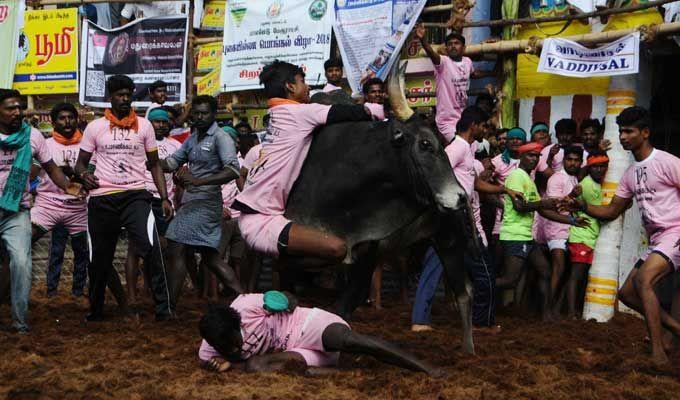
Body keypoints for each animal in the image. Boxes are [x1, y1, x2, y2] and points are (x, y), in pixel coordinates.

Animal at [282, 63, 478, 354]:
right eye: (425, 144)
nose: (460, 197)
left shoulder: (367, 253)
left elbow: (344, 304)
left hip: (449, 241)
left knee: (464, 292)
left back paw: (469, 350)